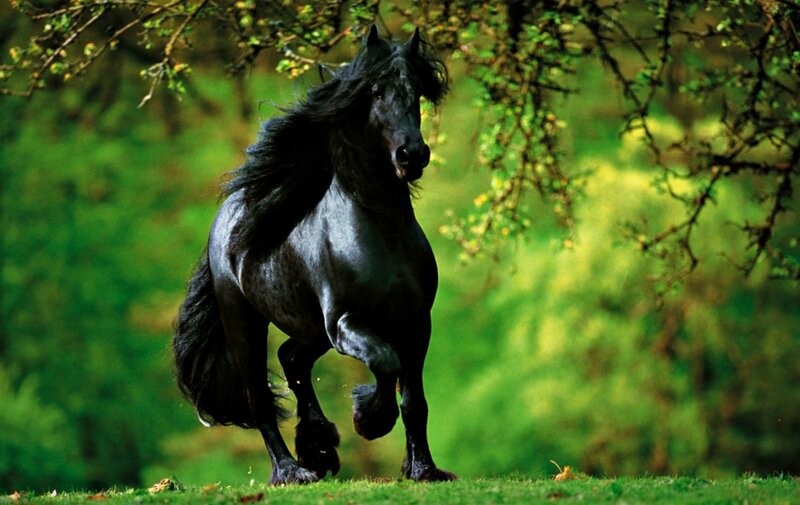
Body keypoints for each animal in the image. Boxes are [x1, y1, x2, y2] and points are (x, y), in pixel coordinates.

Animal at [173, 25, 456, 485]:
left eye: (415, 91)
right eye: (375, 91)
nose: (412, 154)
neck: (381, 232)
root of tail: (226, 217)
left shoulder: (415, 321)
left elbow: (414, 399)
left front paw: (424, 469)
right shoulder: (345, 322)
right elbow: (385, 362)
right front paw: (369, 420)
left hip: (308, 329)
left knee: (292, 359)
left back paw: (318, 446)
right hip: (246, 324)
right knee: (259, 399)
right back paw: (292, 471)